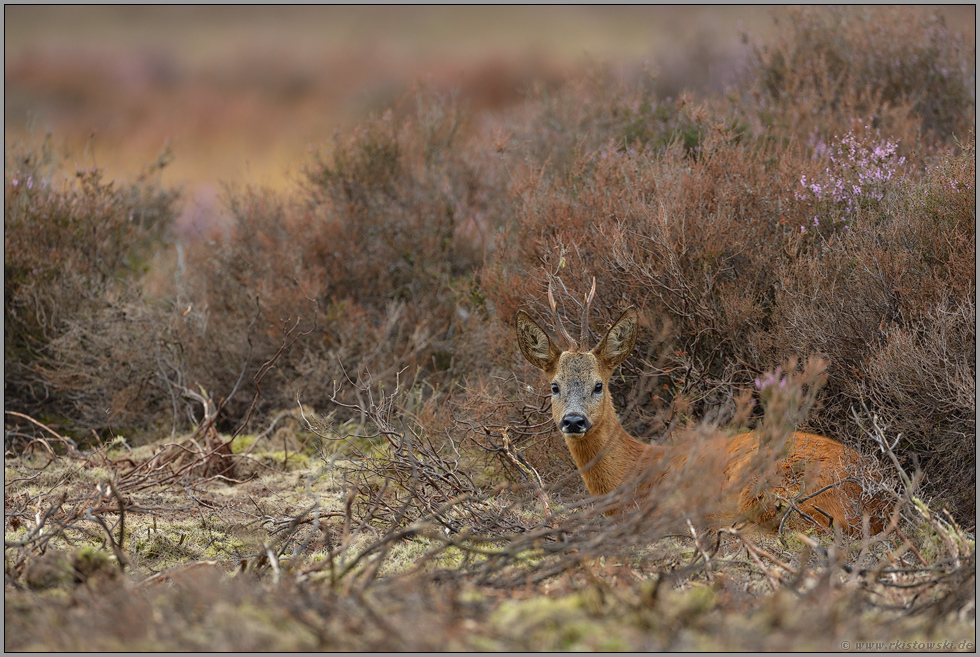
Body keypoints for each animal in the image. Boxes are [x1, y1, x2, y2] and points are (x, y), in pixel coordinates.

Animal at [516, 280, 884, 532]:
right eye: (554, 386)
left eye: (598, 385)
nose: (574, 421)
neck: (636, 471)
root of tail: (877, 498)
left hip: (765, 482)